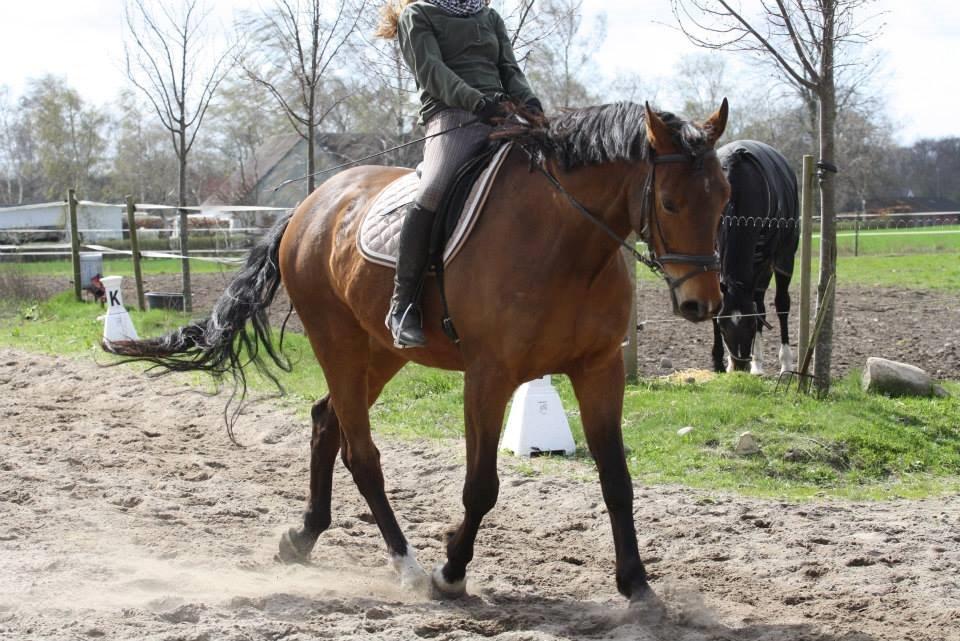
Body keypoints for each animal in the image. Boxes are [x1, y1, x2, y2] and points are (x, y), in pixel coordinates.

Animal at [105, 101, 732, 604]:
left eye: (725, 199)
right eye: (670, 203)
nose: (702, 304)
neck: (564, 243)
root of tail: (311, 204)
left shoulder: (599, 369)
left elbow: (617, 480)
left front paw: (637, 584)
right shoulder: (489, 376)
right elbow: (482, 485)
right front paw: (451, 571)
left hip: (381, 351)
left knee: (326, 421)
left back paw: (303, 537)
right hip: (337, 341)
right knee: (360, 453)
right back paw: (406, 566)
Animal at [712, 138, 804, 372]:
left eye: (751, 325)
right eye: (722, 326)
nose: (739, 366)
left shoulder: (765, 260)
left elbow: (760, 308)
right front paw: (719, 362)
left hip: (783, 257)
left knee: (779, 304)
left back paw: (781, 364)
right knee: (760, 302)